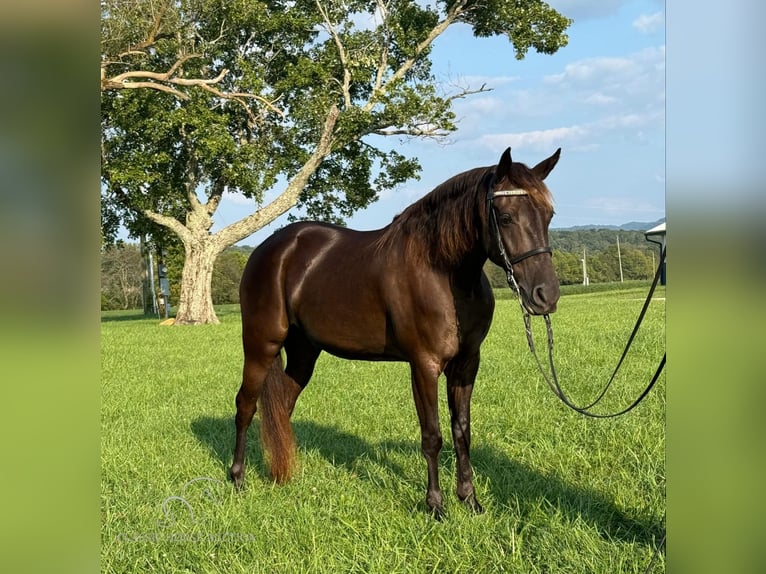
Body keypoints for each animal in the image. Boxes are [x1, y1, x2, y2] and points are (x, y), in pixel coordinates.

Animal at [230, 146, 564, 520]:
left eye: (548, 214)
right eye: (505, 217)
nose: (546, 295)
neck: (441, 270)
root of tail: (270, 249)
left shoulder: (466, 364)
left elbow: (462, 432)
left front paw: (470, 500)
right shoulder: (424, 365)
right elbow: (432, 435)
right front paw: (435, 506)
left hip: (304, 352)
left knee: (282, 407)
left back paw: (280, 472)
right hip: (261, 344)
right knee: (246, 405)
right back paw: (238, 478)